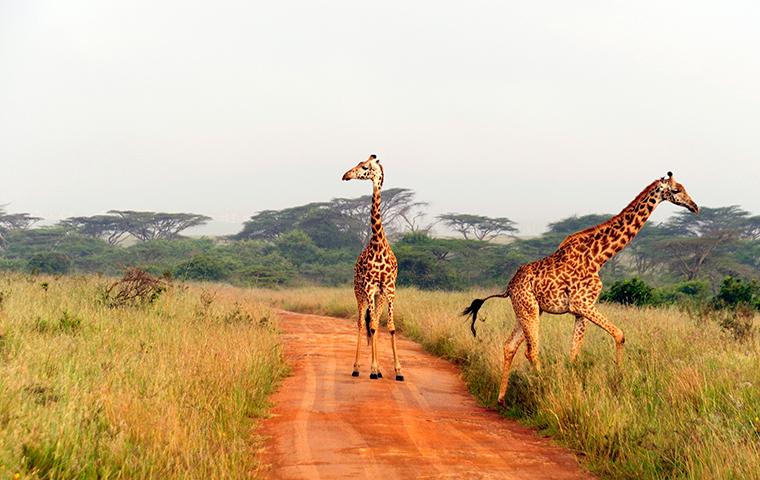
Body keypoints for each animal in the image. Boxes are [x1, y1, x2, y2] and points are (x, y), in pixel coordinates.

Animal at [342, 156, 404, 380]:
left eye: (365, 167)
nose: (346, 175)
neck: (378, 243)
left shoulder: (390, 289)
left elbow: (390, 327)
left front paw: (398, 371)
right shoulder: (368, 287)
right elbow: (372, 326)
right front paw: (374, 369)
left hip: (379, 296)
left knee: (374, 322)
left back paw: (375, 368)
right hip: (359, 292)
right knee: (362, 324)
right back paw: (358, 368)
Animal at [460, 172, 696, 404]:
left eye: (685, 188)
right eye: (676, 190)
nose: (694, 207)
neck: (599, 256)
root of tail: (509, 287)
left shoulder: (581, 310)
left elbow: (575, 352)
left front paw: (577, 387)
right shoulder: (581, 303)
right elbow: (619, 334)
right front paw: (619, 378)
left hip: (526, 311)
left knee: (510, 346)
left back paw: (501, 398)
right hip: (529, 310)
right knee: (531, 351)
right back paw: (542, 386)